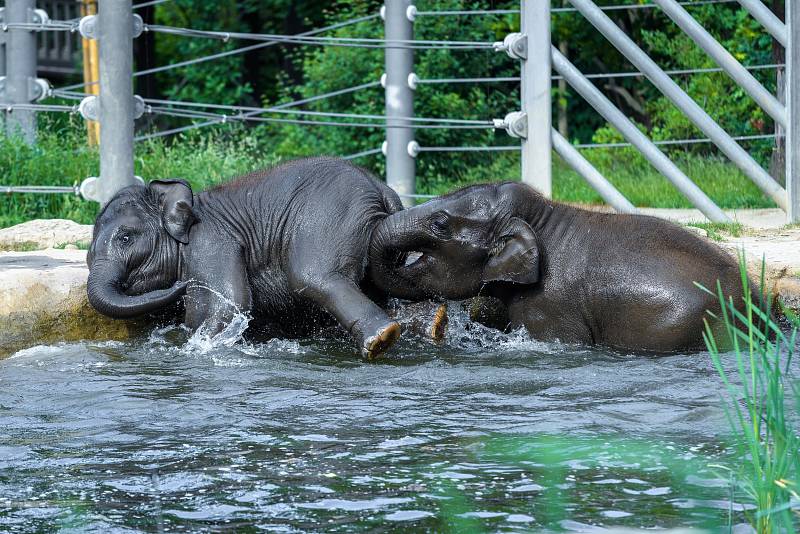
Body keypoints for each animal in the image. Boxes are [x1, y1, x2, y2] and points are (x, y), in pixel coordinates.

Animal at [86, 159, 438, 360]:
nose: (179, 286)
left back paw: (381, 341)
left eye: (125, 238)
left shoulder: (211, 242)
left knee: (314, 278)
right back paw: (433, 325)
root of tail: (382, 189)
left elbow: (228, 304)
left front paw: (196, 347)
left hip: (328, 220)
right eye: (87, 256)